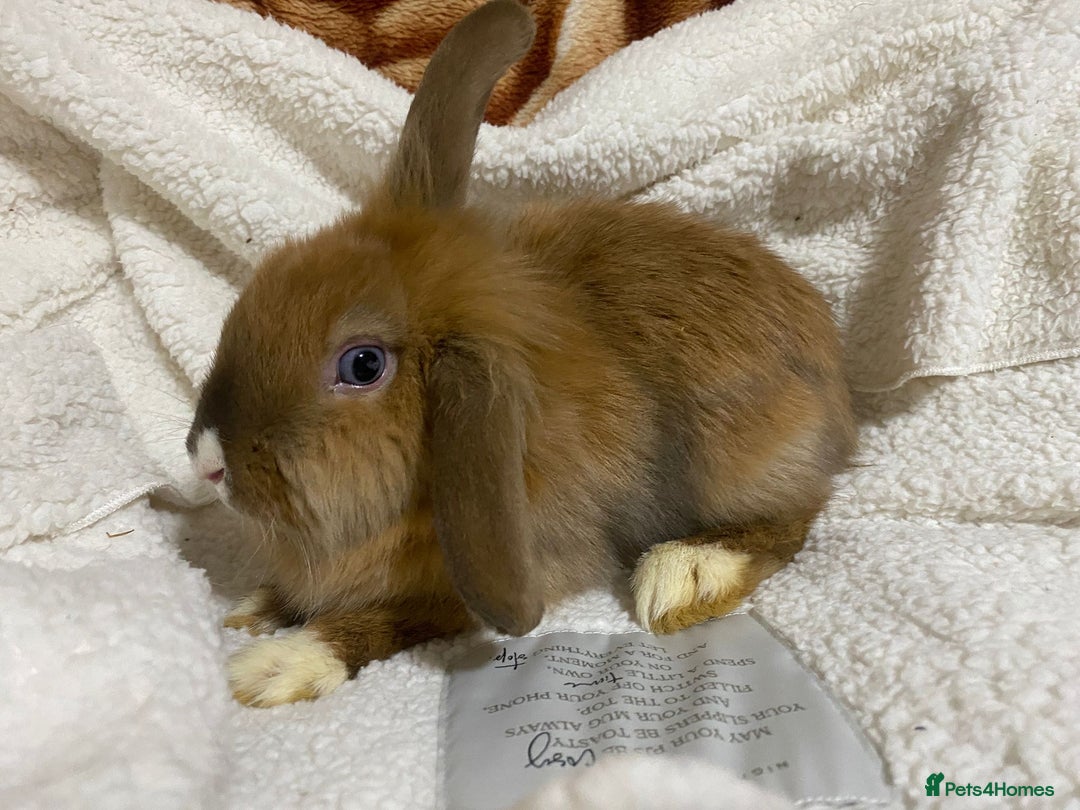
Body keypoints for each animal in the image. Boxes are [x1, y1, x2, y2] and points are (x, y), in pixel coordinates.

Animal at [187, 0, 855, 708]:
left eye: (362, 365)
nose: (206, 460)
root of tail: (838, 386)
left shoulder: (479, 584)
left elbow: (381, 617)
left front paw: (274, 666)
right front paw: (254, 607)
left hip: (740, 463)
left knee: (795, 519)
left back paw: (686, 573)